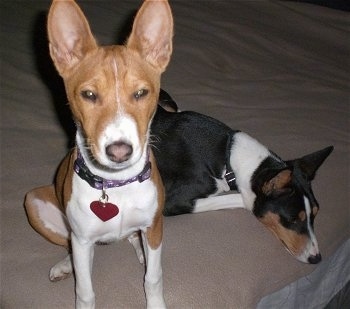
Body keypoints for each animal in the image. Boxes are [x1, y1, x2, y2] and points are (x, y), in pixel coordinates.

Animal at [23, 1, 173, 306]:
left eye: (141, 93)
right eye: (89, 95)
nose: (119, 151)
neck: (116, 185)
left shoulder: (154, 226)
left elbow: (153, 278)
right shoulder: (81, 239)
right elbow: (85, 291)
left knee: (134, 239)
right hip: (34, 203)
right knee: (71, 248)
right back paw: (65, 265)